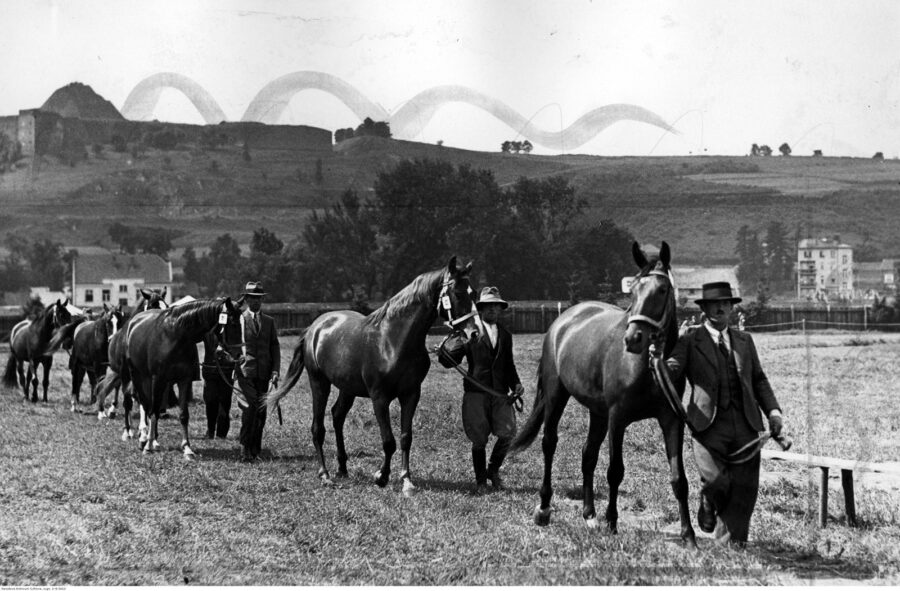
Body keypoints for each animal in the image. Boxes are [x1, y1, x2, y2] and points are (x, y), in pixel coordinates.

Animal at [123, 296, 244, 458]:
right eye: (232, 323)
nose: (239, 355)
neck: (175, 336)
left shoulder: (184, 380)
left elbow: (183, 415)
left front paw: (187, 448)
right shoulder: (158, 379)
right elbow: (153, 412)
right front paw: (147, 446)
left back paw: (154, 439)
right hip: (138, 376)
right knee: (145, 404)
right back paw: (144, 438)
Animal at [264, 258, 478, 494]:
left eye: (474, 293)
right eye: (457, 293)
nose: (473, 333)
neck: (392, 341)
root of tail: (315, 328)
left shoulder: (411, 394)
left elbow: (406, 437)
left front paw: (406, 481)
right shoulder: (379, 398)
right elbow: (388, 441)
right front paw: (381, 477)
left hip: (347, 388)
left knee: (337, 416)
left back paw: (342, 468)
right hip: (319, 383)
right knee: (317, 428)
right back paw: (325, 475)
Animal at [510, 243, 700, 548]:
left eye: (662, 290)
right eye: (633, 290)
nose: (633, 338)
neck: (644, 366)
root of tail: (563, 320)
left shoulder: (671, 420)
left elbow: (678, 479)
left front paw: (689, 534)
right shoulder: (617, 418)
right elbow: (615, 471)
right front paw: (612, 522)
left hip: (596, 412)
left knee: (588, 454)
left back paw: (589, 514)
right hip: (556, 395)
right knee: (549, 443)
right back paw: (544, 508)